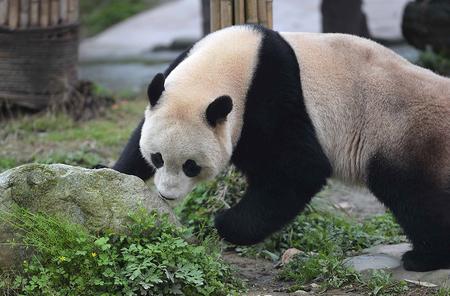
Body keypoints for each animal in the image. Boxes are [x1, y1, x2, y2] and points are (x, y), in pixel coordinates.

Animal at [107, 24, 448, 272]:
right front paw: (111, 173)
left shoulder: (273, 95)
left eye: (191, 166)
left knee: (414, 195)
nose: (167, 195)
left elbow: (299, 169)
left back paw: (424, 258)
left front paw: (222, 222)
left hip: (400, 132)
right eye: (157, 158)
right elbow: (138, 135)